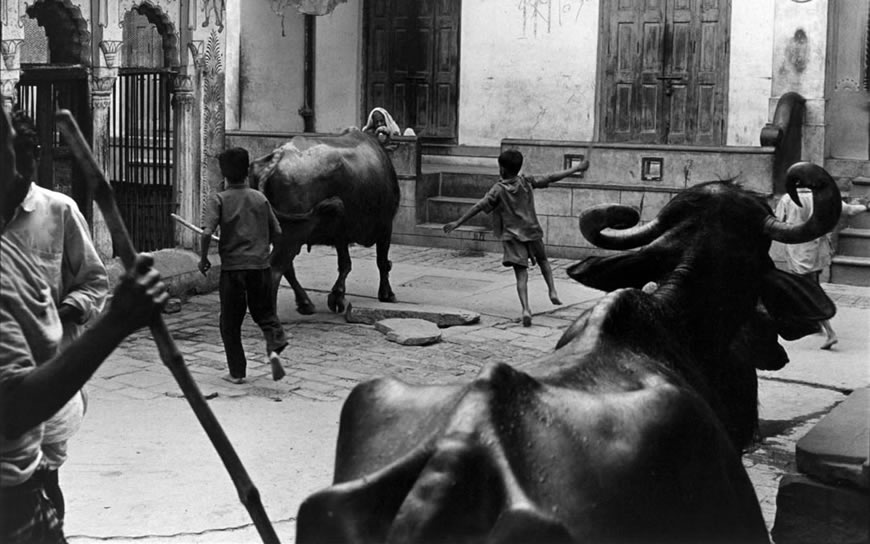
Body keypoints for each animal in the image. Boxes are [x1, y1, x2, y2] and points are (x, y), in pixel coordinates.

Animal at [247, 129, 400, 314]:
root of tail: (279, 155)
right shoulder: (385, 227)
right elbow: (382, 262)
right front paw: (387, 294)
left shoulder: (341, 234)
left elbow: (345, 264)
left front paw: (337, 297)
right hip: (292, 235)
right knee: (276, 269)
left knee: (286, 268)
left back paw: (305, 303)